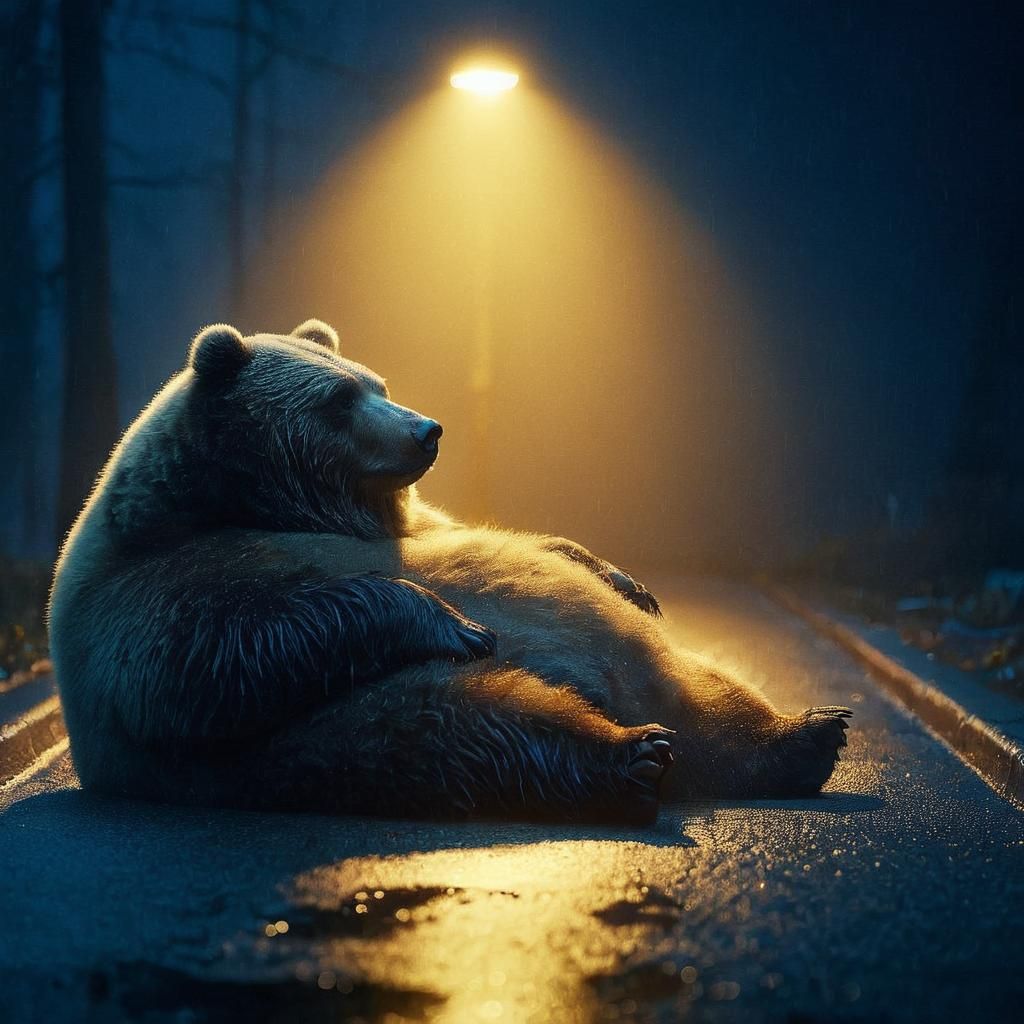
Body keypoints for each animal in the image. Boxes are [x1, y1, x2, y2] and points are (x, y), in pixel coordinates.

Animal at [48, 320, 850, 825]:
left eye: (374, 379)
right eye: (339, 399)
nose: (425, 429)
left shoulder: (413, 520)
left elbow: (510, 540)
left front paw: (627, 579)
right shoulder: (147, 588)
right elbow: (232, 646)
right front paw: (452, 622)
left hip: (666, 672)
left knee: (716, 699)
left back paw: (808, 733)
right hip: (362, 724)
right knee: (486, 727)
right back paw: (632, 756)